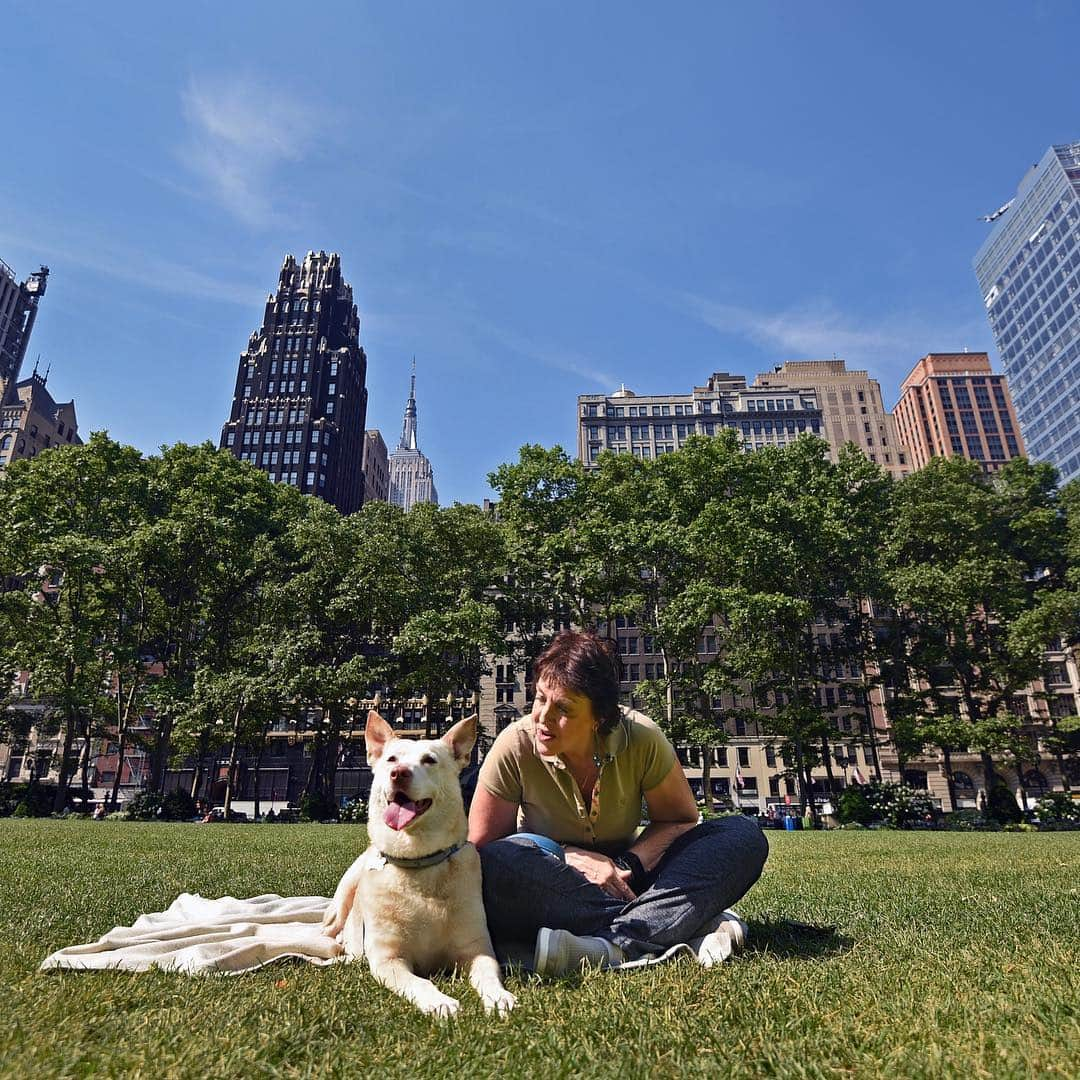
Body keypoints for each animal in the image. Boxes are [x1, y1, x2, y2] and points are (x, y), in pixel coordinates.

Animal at [319, 712, 514, 1015]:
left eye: (429, 760)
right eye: (391, 759)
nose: (399, 773)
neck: (419, 863)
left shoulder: (476, 949)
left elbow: (488, 974)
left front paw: (497, 996)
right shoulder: (388, 959)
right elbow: (418, 982)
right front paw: (439, 1002)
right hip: (343, 897)